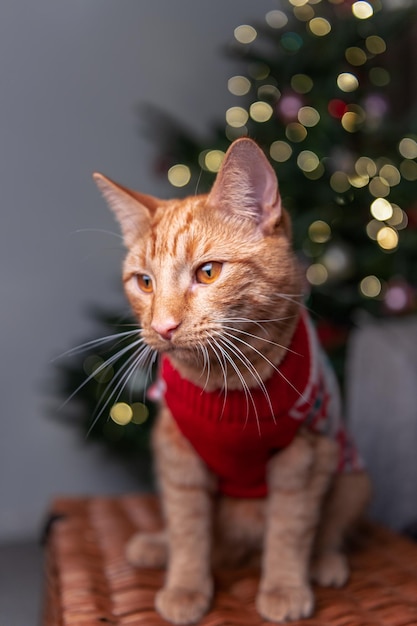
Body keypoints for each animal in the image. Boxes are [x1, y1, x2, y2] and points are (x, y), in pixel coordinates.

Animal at [92, 139, 368, 620]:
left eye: (208, 272)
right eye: (144, 282)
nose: (162, 327)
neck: (227, 386)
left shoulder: (304, 457)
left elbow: (291, 530)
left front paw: (284, 586)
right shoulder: (177, 452)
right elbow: (187, 530)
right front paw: (185, 587)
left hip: (352, 475)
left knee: (330, 529)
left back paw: (325, 561)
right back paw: (157, 545)